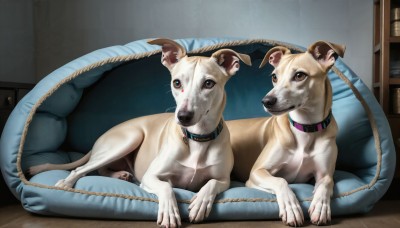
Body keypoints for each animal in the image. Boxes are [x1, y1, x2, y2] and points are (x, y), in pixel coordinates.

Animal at [29, 38, 252, 227]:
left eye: (208, 83)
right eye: (177, 82)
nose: (183, 116)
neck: (196, 138)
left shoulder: (224, 180)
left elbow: (212, 183)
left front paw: (200, 202)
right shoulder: (150, 176)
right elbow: (167, 187)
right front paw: (169, 211)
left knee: (100, 170)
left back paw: (119, 174)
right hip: (129, 139)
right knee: (80, 169)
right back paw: (65, 183)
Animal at [227, 41, 346, 226]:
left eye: (299, 75)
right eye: (274, 77)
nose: (266, 101)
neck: (305, 126)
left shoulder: (324, 173)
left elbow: (326, 182)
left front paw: (320, 206)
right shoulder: (257, 172)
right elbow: (281, 181)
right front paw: (291, 208)